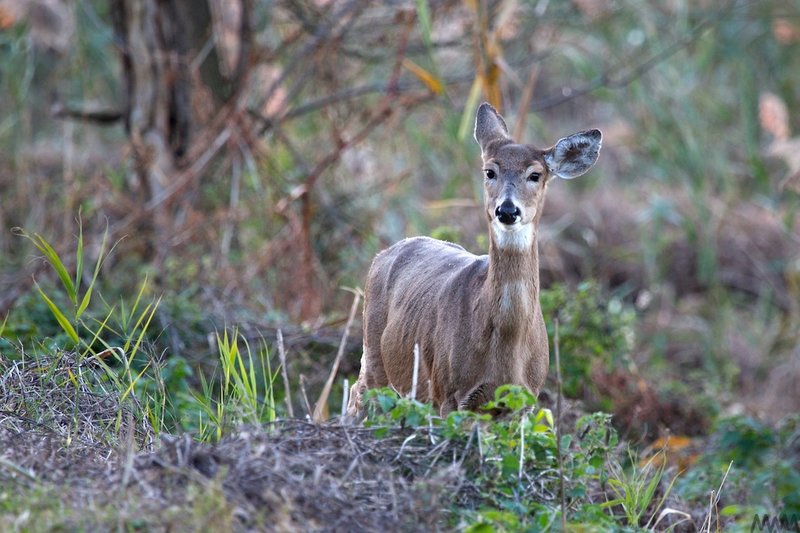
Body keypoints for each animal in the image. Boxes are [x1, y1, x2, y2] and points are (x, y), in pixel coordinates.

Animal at [346, 104, 604, 418]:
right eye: (489, 171)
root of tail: (383, 255)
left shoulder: (525, 398)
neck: (507, 347)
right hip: (374, 352)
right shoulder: (448, 392)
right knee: (357, 393)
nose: (507, 210)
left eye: (535, 174)